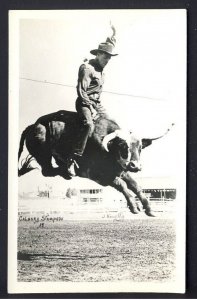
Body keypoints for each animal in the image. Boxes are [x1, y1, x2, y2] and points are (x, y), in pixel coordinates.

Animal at [17, 109, 173, 216]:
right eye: (123, 146)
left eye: (140, 148)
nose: (135, 166)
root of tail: (33, 126)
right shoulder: (97, 175)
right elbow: (122, 185)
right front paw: (134, 206)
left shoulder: (120, 171)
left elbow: (135, 185)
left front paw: (148, 208)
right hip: (43, 154)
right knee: (47, 171)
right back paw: (67, 170)